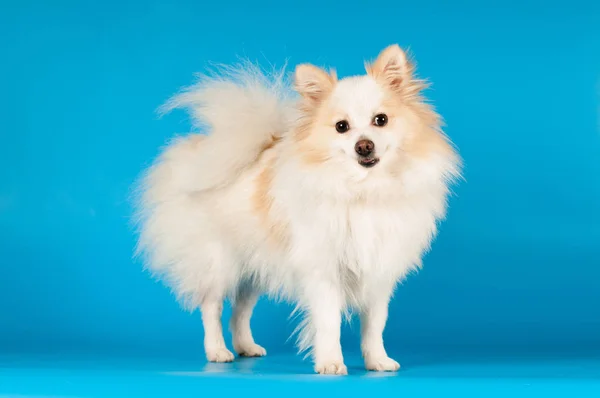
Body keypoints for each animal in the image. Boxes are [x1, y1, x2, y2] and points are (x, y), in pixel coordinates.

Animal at [134, 45, 462, 374]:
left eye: (380, 120)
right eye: (341, 127)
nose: (364, 146)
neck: (364, 189)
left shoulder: (379, 272)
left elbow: (375, 324)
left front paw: (377, 360)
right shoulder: (325, 270)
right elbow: (329, 323)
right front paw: (330, 363)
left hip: (254, 269)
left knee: (239, 311)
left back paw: (246, 347)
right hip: (219, 264)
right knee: (211, 307)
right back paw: (217, 350)